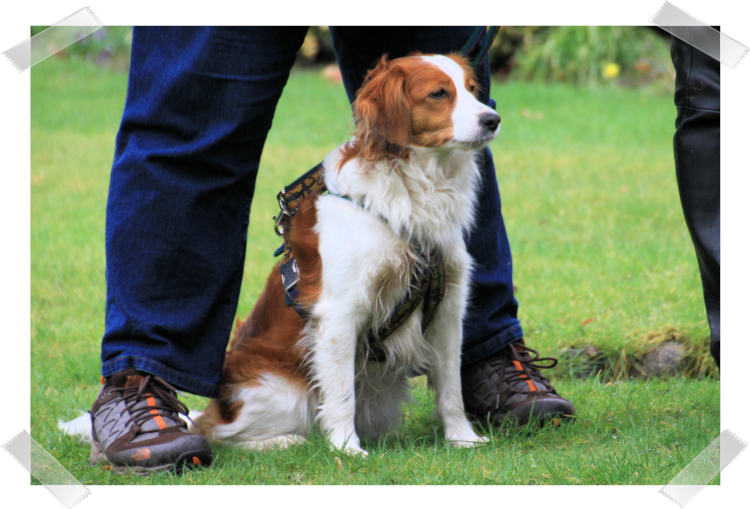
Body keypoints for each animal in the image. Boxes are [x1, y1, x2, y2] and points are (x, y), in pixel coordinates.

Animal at [191, 52, 502, 456]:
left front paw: (462, 438)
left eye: (471, 88)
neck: (414, 190)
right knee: (221, 436)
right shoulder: (341, 313)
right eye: (438, 93)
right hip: (282, 391)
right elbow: (341, 395)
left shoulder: (448, 309)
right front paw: (346, 448)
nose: (493, 119)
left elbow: (452, 387)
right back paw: (283, 441)